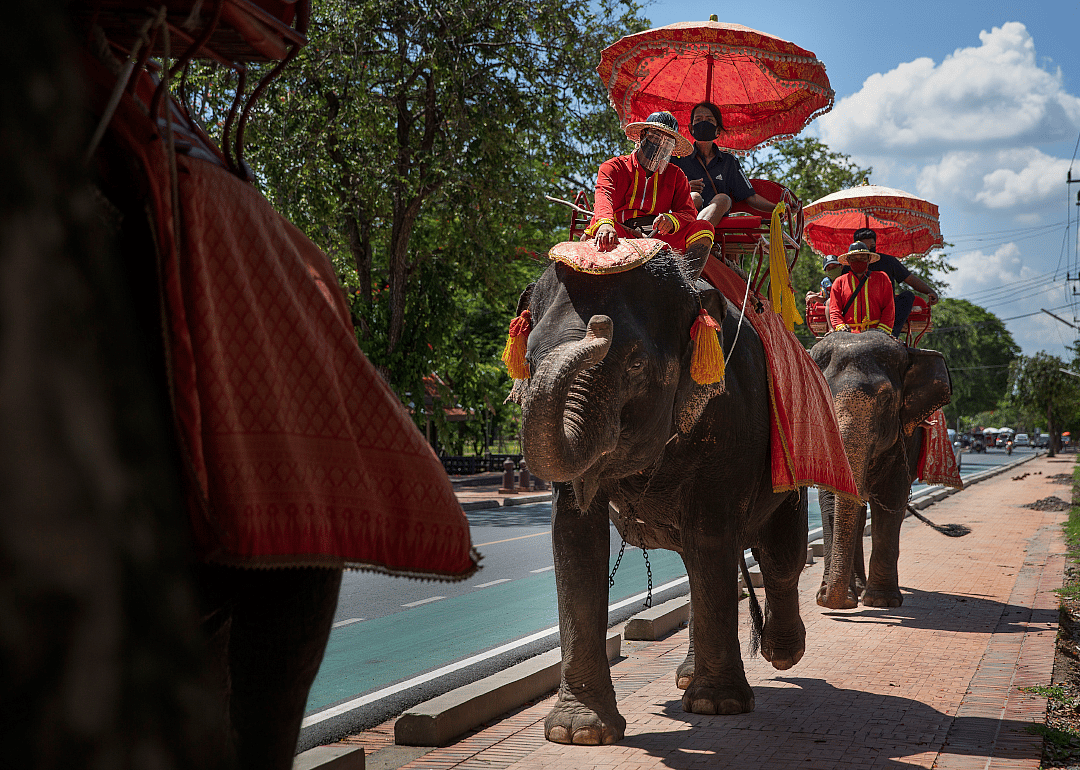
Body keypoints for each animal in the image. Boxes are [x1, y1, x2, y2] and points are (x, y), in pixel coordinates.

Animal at [510, 248, 809, 745]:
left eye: (634, 364)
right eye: (529, 361)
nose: (599, 326)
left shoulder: (731, 415)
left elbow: (711, 534)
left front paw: (716, 706)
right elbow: (574, 540)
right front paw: (579, 732)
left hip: (793, 458)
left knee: (778, 555)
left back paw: (781, 654)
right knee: (697, 563)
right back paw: (689, 675)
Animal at [809, 331, 951, 610]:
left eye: (885, 399)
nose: (830, 599)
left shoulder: (905, 438)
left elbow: (891, 498)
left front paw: (881, 601)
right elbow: (830, 498)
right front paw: (834, 599)